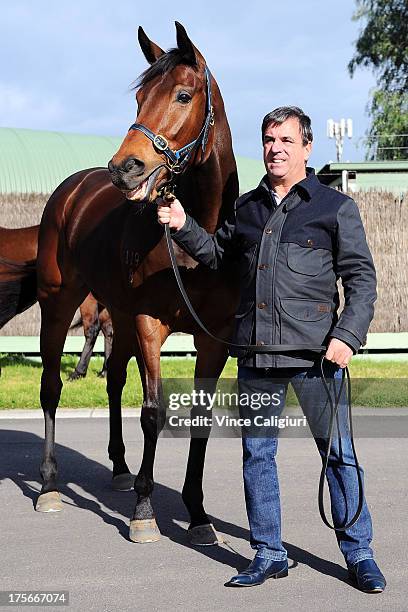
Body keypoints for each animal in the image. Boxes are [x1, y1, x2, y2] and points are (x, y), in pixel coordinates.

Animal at [35, 21, 239, 544]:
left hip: (117, 313)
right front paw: (146, 511)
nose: (124, 168)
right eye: (139, 97)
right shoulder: (150, 323)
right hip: (60, 303)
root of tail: (71, 191)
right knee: (51, 386)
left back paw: (122, 468)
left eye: (183, 95)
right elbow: (151, 412)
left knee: (112, 380)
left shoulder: (214, 339)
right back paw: (49, 485)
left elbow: (200, 418)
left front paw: (198, 514)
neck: (195, 238)